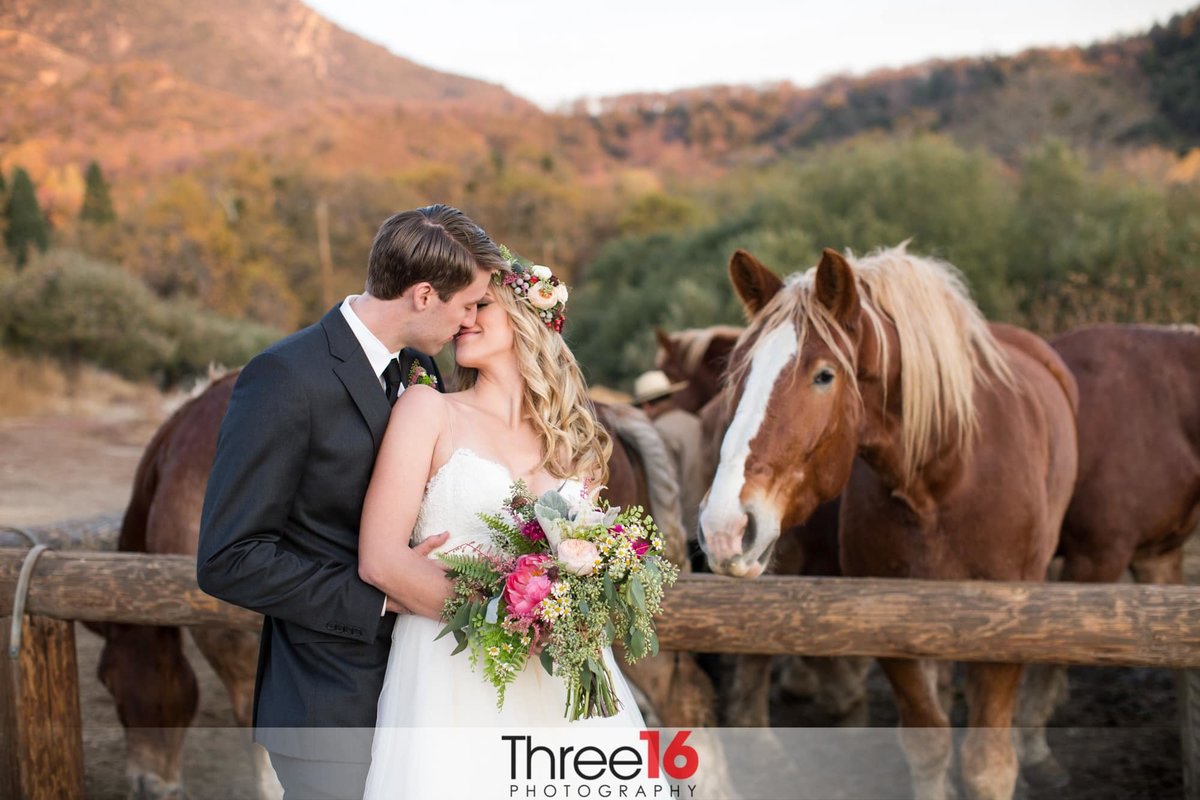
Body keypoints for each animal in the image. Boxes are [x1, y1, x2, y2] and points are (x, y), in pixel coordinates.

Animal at [700, 245, 1084, 800]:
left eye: (824, 375)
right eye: (738, 372)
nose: (724, 526)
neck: (946, 473)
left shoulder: (1007, 628)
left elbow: (988, 765)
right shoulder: (889, 624)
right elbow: (927, 744)